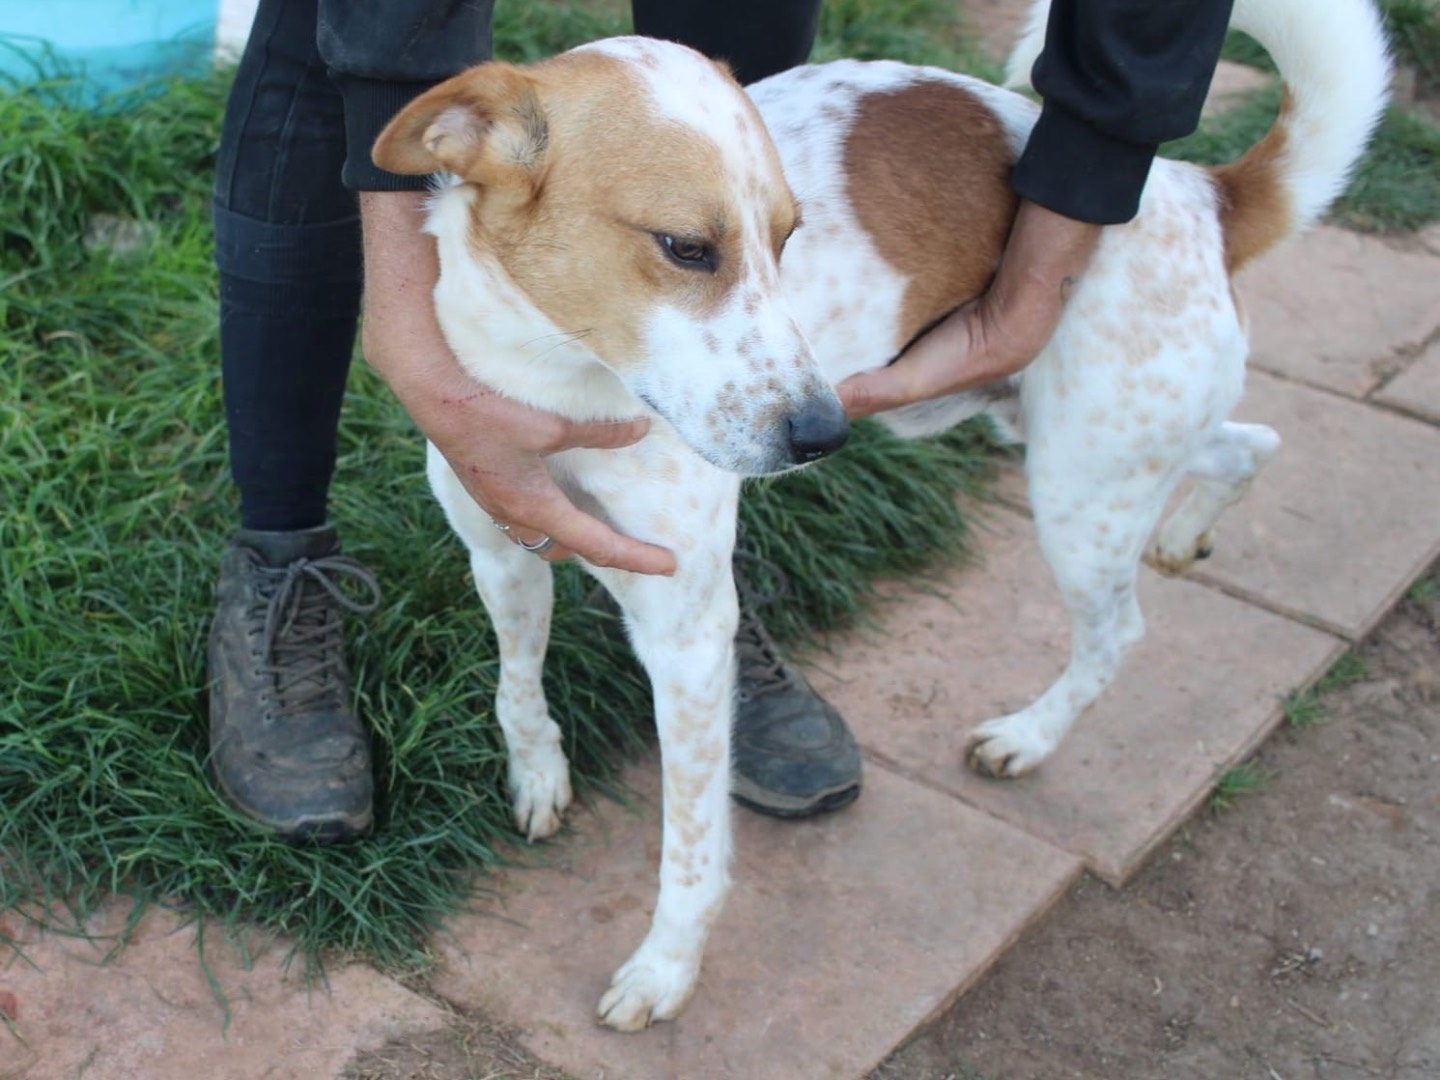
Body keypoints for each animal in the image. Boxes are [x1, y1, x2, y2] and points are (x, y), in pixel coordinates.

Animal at [368, 0, 1382, 1031]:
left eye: (788, 240)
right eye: (686, 246)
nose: (826, 434)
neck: (562, 380)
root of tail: (1199, 191)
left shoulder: (687, 632)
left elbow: (690, 847)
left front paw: (666, 970)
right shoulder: (499, 542)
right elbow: (516, 685)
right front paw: (538, 775)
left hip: (1078, 491)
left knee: (1121, 630)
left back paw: (1030, 735)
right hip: (1090, 442)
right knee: (1250, 442)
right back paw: (1185, 533)